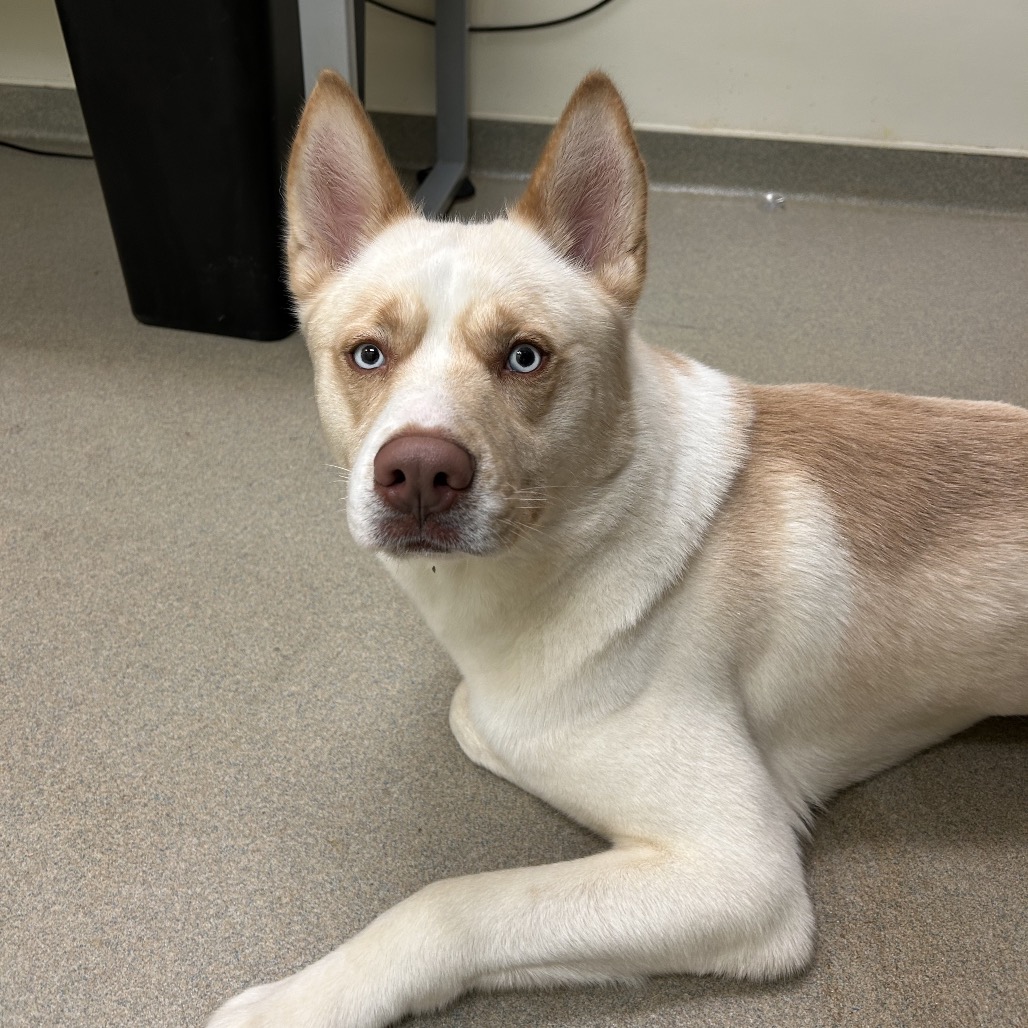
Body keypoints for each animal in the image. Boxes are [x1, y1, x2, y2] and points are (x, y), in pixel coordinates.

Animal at [208, 70, 1028, 1027]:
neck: (586, 529)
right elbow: (479, 717)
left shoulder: (738, 873)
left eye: (525, 358)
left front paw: (306, 998)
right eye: (367, 354)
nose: (417, 474)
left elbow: (455, 900)